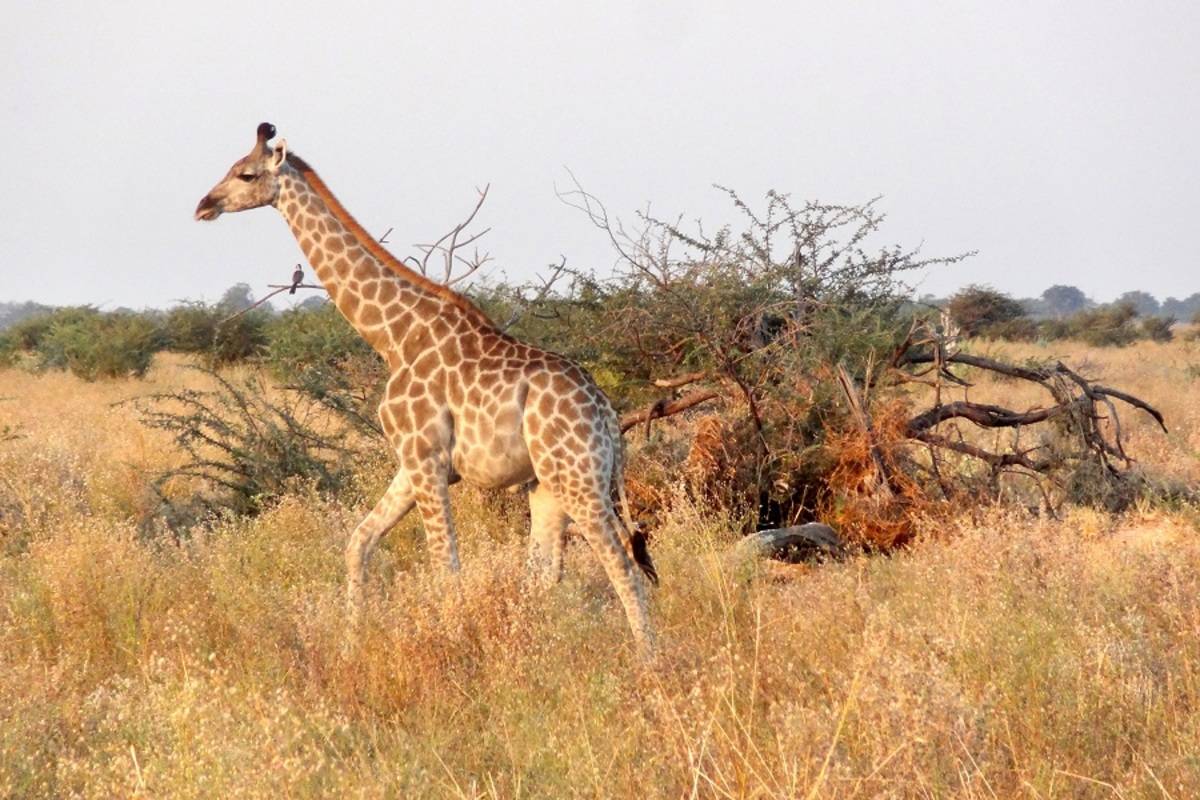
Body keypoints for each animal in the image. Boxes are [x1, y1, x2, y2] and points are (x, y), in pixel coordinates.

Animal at [195, 122, 657, 652]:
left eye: (246, 174)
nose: (203, 205)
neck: (393, 336)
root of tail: (607, 414)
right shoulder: (412, 462)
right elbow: (359, 543)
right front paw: (351, 644)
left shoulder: (427, 460)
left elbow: (445, 568)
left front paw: (459, 647)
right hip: (547, 484)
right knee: (547, 572)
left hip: (578, 476)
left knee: (622, 564)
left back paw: (650, 661)